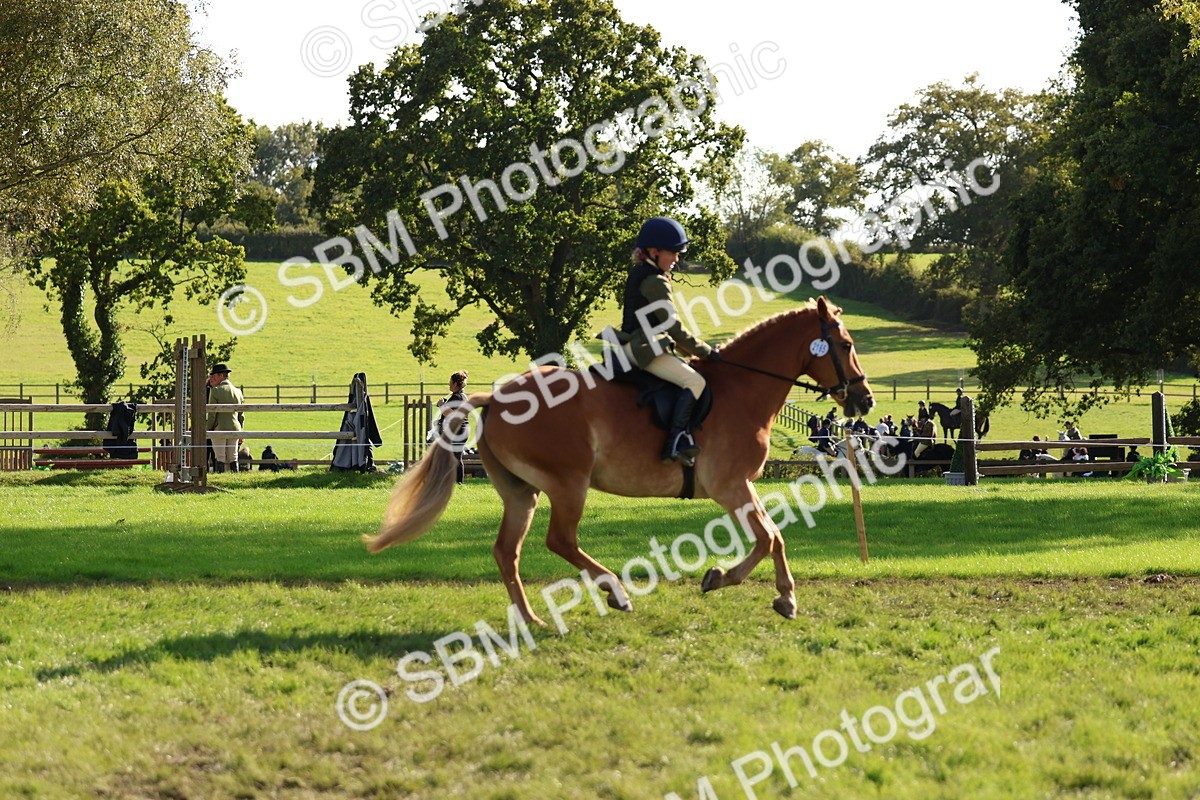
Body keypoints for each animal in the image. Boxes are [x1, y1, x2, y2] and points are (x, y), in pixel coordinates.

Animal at [364, 296, 875, 622]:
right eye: (846, 346)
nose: (865, 400)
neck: (742, 389)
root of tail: (496, 397)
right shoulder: (730, 485)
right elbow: (768, 537)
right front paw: (726, 579)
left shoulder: (741, 485)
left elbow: (774, 535)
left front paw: (780, 596)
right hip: (568, 483)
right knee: (560, 540)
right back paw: (616, 592)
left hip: (520, 492)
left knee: (507, 551)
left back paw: (530, 619)